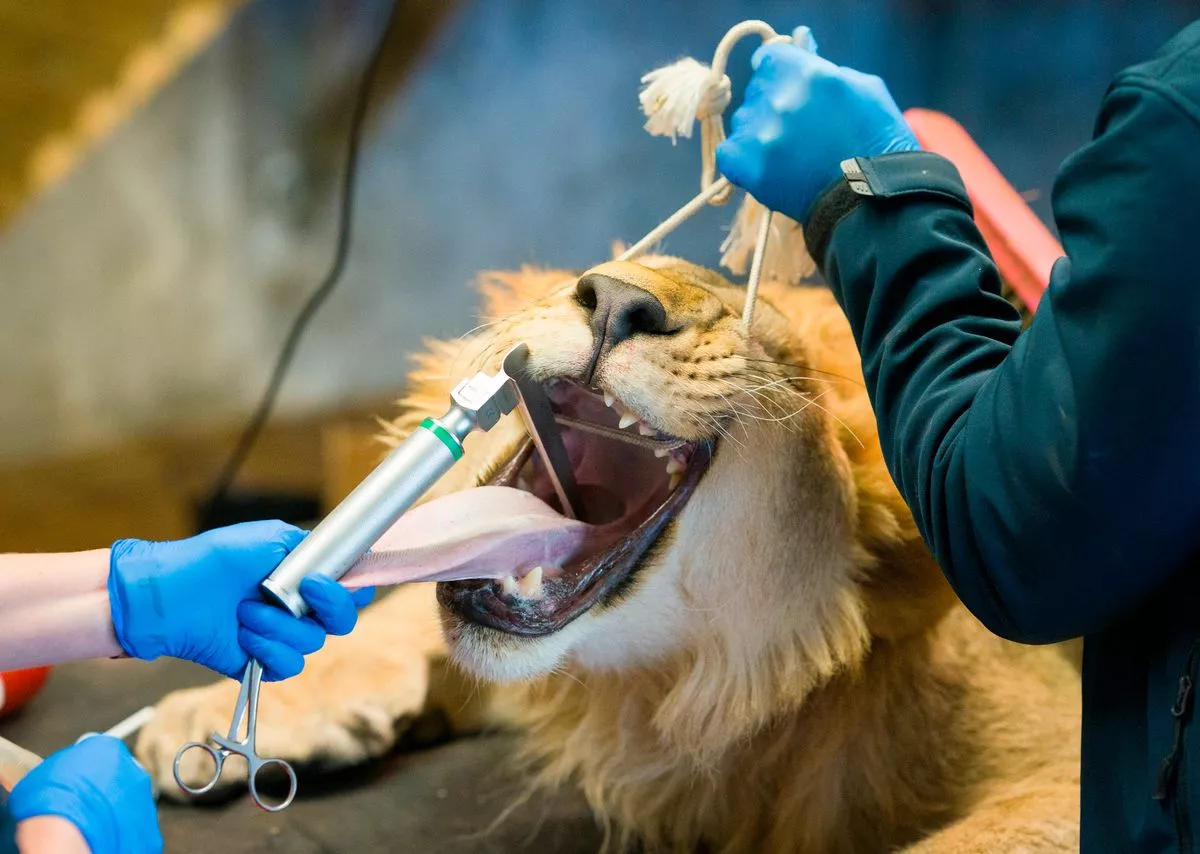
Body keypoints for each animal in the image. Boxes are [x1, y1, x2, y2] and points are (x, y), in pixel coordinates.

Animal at [136, 257, 1082, 853]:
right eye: (608, 269)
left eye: (772, 351)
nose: (620, 301)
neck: (666, 684)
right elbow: (410, 605)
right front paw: (223, 702)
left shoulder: (1064, 770)